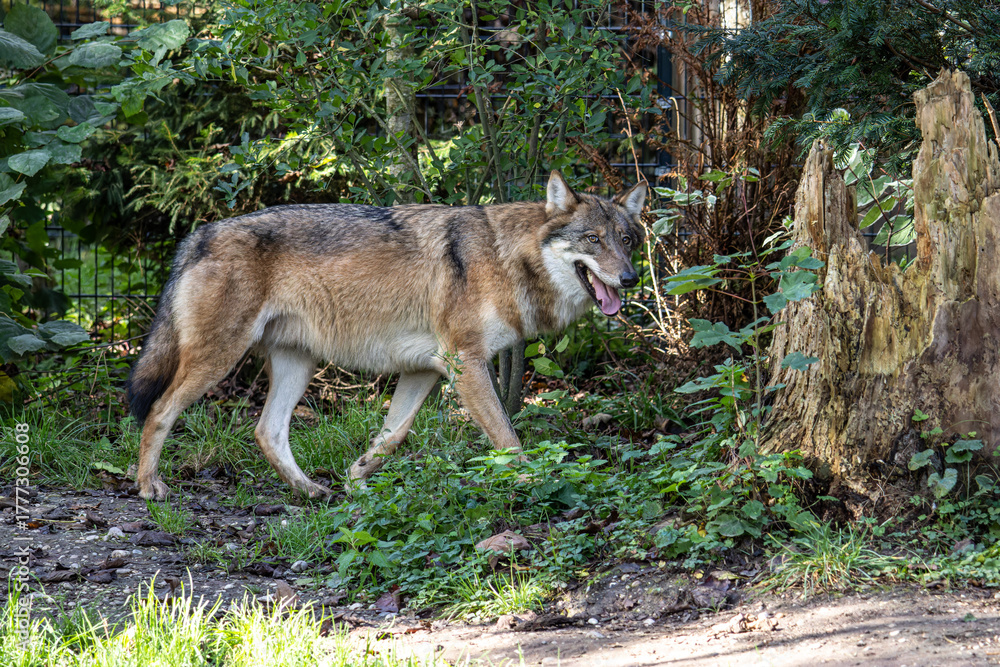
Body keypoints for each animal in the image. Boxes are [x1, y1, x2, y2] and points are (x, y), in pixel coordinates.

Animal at [127, 171, 646, 501]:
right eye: (593, 240)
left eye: (628, 240)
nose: (630, 278)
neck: (506, 258)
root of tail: (198, 235)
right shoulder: (465, 364)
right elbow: (508, 440)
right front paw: (534, 485)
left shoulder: (426, 370)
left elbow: (392, 436)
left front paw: (356, 477)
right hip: (218, 360)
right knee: (159, 410)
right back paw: (149, 486)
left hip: (298, 366)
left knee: (266, 431)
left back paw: (311, 491)